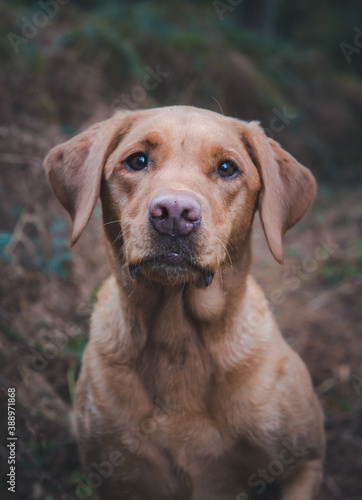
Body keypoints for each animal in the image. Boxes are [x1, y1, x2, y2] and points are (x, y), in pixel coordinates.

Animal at [43, 106, 324, 500]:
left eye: (227, 168)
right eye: (137, 160)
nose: (174, 212)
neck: (178, 340)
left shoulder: (306, 462)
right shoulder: (118, 480)